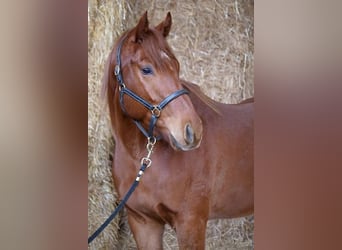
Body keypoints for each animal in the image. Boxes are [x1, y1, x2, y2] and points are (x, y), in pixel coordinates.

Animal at [103, 11, 252, 248]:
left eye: (176, 66)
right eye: (146, 69)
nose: (193, 130)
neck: (141, 159)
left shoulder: (190, 223)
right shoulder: (143, 223)